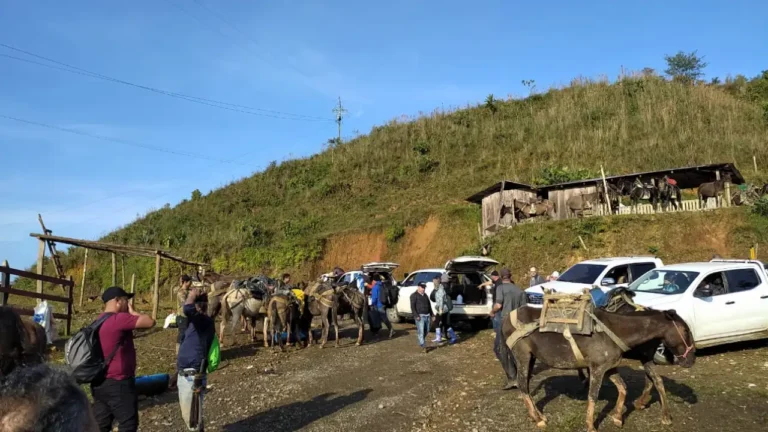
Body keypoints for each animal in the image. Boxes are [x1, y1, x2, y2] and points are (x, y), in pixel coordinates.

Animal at [500, 308, 692, 432]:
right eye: (685, 330)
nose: (691, 359)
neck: (614, 331)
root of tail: (506, 318)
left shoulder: (609, 367)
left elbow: (623, 388)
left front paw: (617, 417)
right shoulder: (597, 369)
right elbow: (592, 396)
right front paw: (591, 426)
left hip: (531, 357)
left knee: (525, 386)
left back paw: (537, 415)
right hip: (523, 356)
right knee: (522, 385)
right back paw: (539, 419)